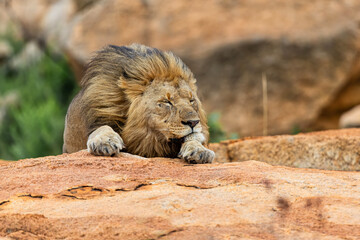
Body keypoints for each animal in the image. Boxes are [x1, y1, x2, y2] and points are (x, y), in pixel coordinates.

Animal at [62, 43, 215, 163]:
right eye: (167, 102)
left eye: (191, 100)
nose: (193, 122)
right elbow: (102, 128)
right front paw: (105, 142)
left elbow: (193, 138)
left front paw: (200, 151)